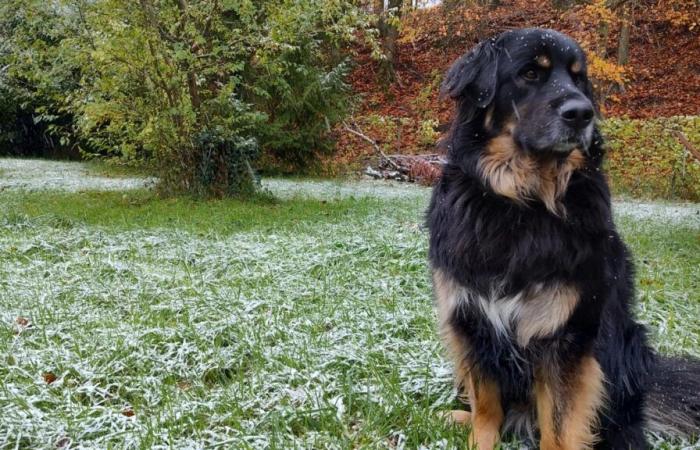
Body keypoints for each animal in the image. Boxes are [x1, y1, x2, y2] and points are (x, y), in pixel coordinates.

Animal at [426, 29, 700, 450]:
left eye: (578, 78)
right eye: (529, 73)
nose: (582, 113)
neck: (522, 204)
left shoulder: (567, 334)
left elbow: (558, 424)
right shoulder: (470, 322)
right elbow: (487, 405)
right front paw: (478, 436)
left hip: (629, 347)